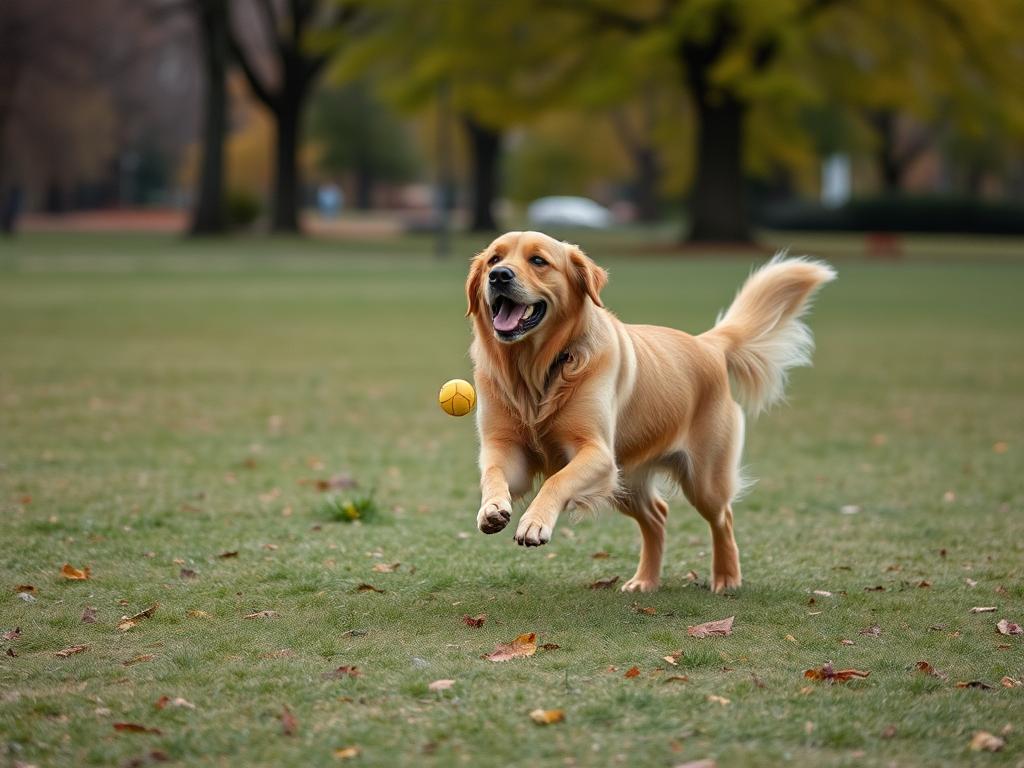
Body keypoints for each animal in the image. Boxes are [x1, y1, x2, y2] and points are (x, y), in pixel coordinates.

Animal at [464, 233, 831, 593]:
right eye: (494, 259)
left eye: (538, 260)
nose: (499, 276)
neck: (536, 373)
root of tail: (708, 344)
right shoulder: (507, 449)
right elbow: (492, 473)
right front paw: (492, 508)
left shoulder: (597, 453)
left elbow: (557, 480)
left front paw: (534, 523)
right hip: (626, 480)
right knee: (657, 516)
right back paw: (645, 580)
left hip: (703, 479)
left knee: (722, 518)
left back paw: (726, 578)